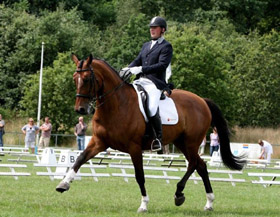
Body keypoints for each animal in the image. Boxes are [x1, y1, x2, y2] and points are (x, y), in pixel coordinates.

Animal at [56, 53, 245, 212]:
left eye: (87, 79)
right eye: (74, 79)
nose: (80, 109)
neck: (116, 105)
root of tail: (202, 101)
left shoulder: (134, 147)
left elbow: (139, 175)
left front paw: (144, 205)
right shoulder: (99, 142)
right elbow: (80, 159)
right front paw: (63, 184)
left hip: (191, 142)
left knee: (193, 164)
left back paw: (179, 194)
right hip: (181, 142)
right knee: (201, 165)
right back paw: (208, 203)